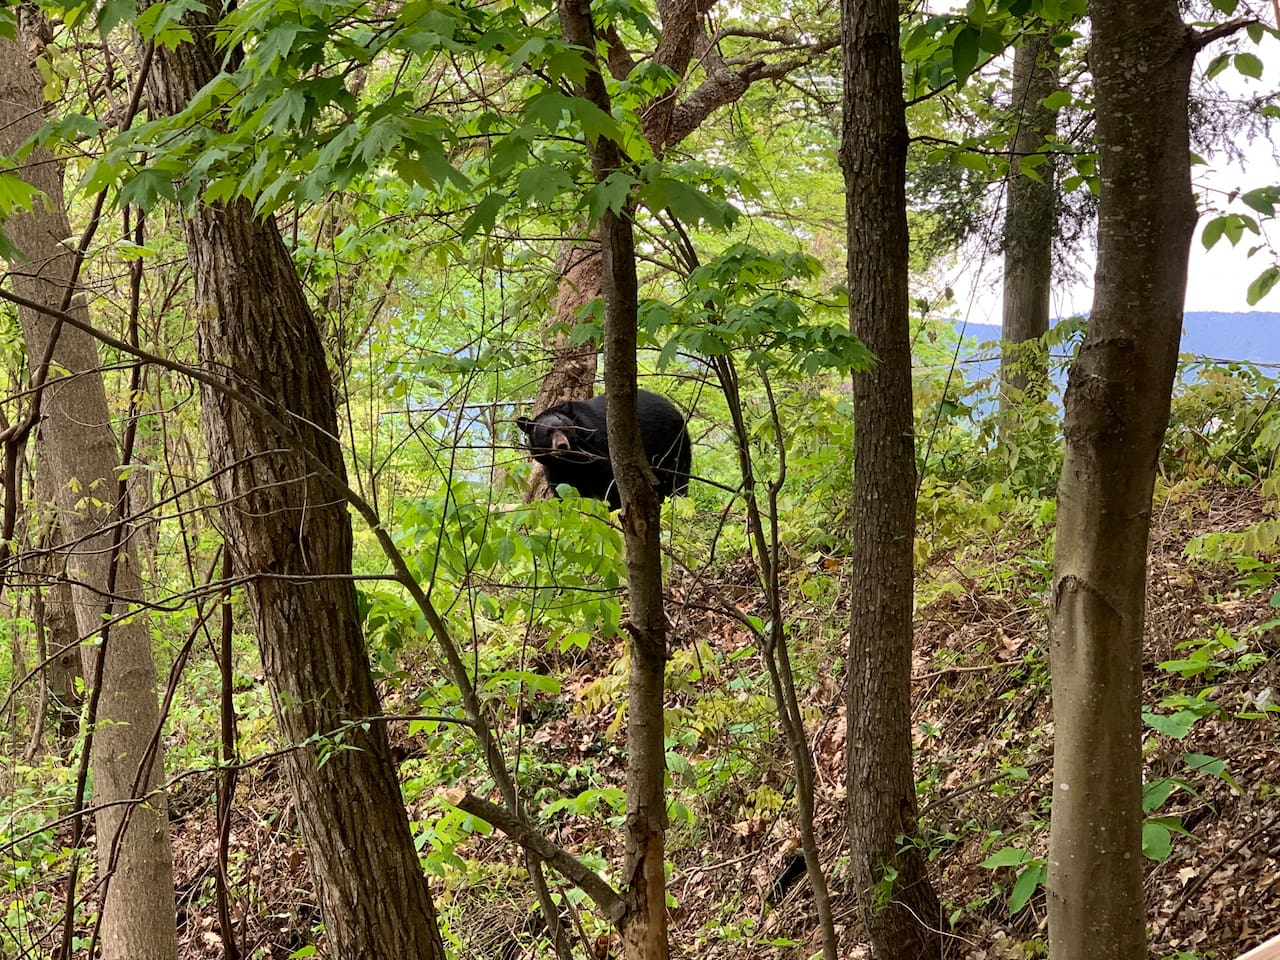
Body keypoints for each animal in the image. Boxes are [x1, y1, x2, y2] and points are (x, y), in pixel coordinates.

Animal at [517, 390, 692, 510]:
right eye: (548, 433)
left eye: (566, 429)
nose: (562, 446)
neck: (573, 461)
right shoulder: (555, 468)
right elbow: (564, 490)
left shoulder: (602, 450)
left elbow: (612, 484)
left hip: (671, 444)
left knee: (676, 477)